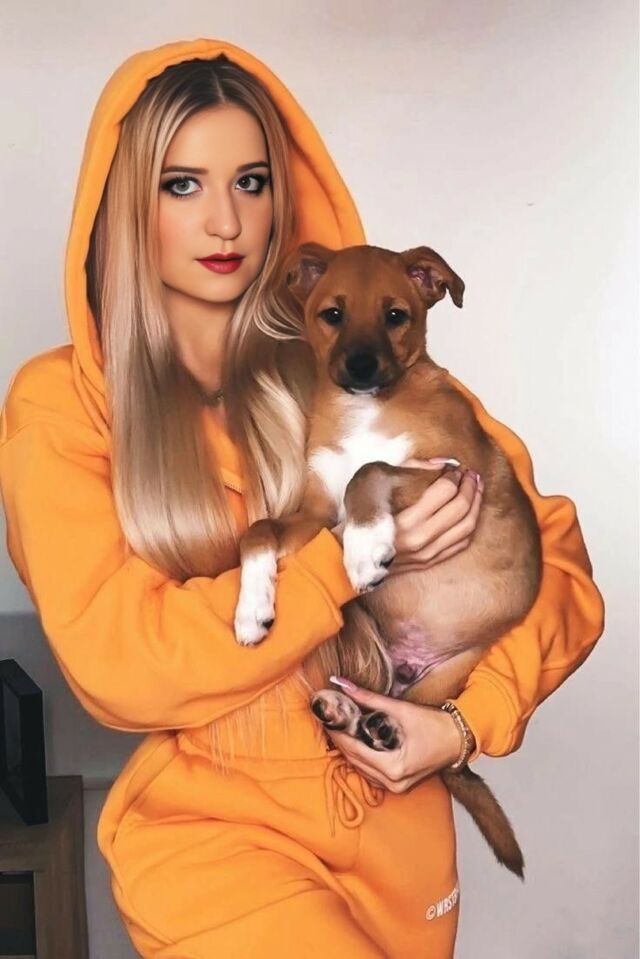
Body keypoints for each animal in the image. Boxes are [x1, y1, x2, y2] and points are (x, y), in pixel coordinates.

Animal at [233, 242, 542, 877]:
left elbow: (370, 470)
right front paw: (251, 607)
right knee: (360, 697)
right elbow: (258, 529)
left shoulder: (450, 472)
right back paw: (345, 712)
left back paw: (380, 726)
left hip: (446, 678)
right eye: (332, 314)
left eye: (396, 315)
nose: (360, 366)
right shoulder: (314, 514)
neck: (364, 414)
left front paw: (368, 545)